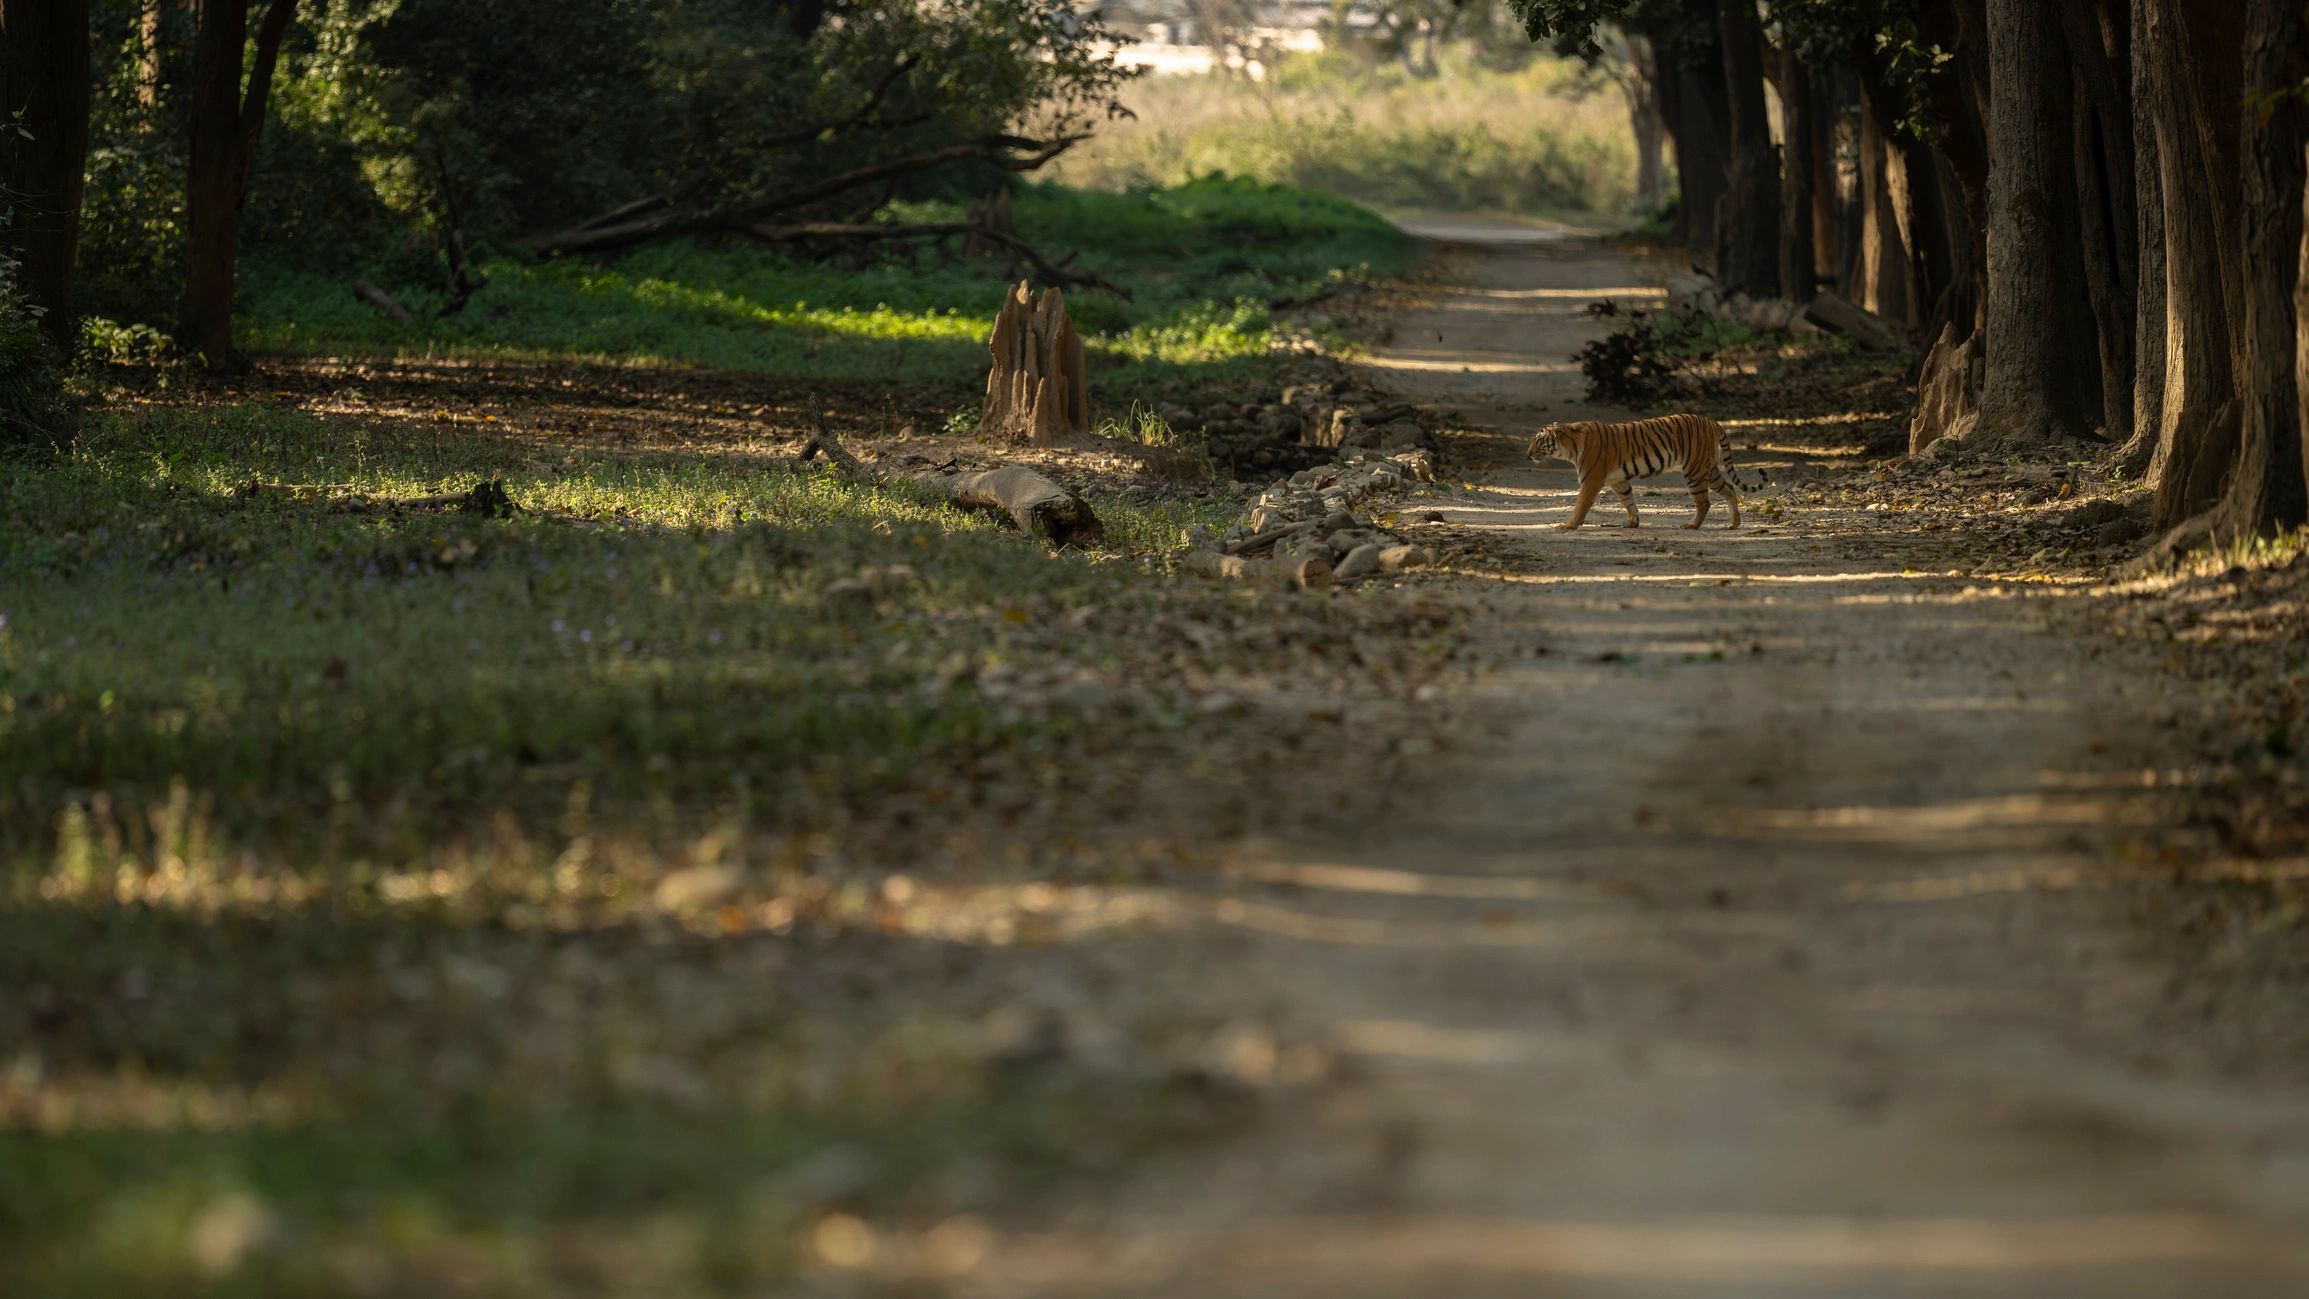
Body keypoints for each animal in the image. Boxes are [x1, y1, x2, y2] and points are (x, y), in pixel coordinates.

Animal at [1525, 413, 1764, 531]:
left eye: (1539, 440)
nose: (1528, 454)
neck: (1570, 447)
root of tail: (1712, 421)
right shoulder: (1618, 480)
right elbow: (1628, 500)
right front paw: (1633, 522)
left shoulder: (1591, 480)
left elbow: (1581, 505)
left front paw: (1569, 525)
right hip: (1709, 468)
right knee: (1729, 489)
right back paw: (1734, 523)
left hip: (1694, 471)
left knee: (1704, 502)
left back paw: (1692, 525)